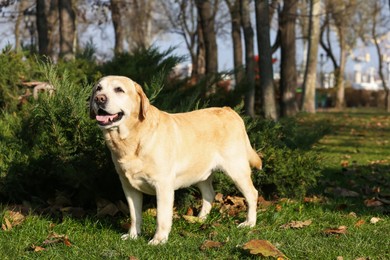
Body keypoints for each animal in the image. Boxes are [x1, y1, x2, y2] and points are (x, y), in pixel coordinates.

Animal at [90, 75, 262, 246]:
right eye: (98, 88)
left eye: (119, 89)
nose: (99, 98)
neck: (133, 138)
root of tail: (229, 110)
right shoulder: (128, 186)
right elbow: (134, 215)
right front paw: (133, 235)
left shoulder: (163, 185)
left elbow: (162, 216)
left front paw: (159, 239)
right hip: (200, 172)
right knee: (209, 194)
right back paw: (200, 219)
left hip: (236, 169)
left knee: (252, 194)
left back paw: (249, 223)